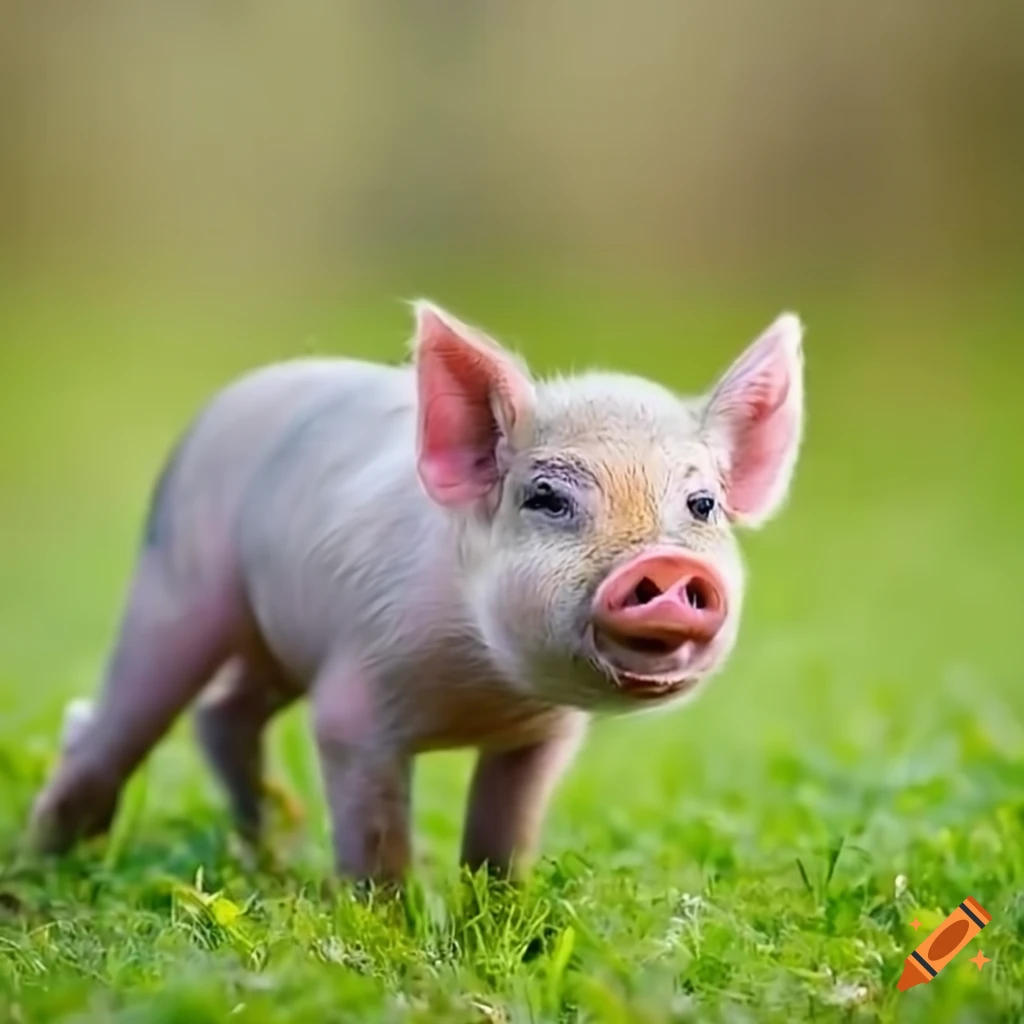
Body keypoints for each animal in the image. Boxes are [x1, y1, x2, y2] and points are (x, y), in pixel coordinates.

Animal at [26, 300, 805, 883]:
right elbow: (377, 846)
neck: (480, 692)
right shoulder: (355, 702)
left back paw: (275, 859)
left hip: (270, 639)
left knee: (223, 713)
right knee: (116, 723)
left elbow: (502, 842)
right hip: (179, 584)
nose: (669, 567)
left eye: (702, 505)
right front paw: (388, 933)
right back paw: (49, 865)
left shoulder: (543, 735)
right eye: (546, 498)